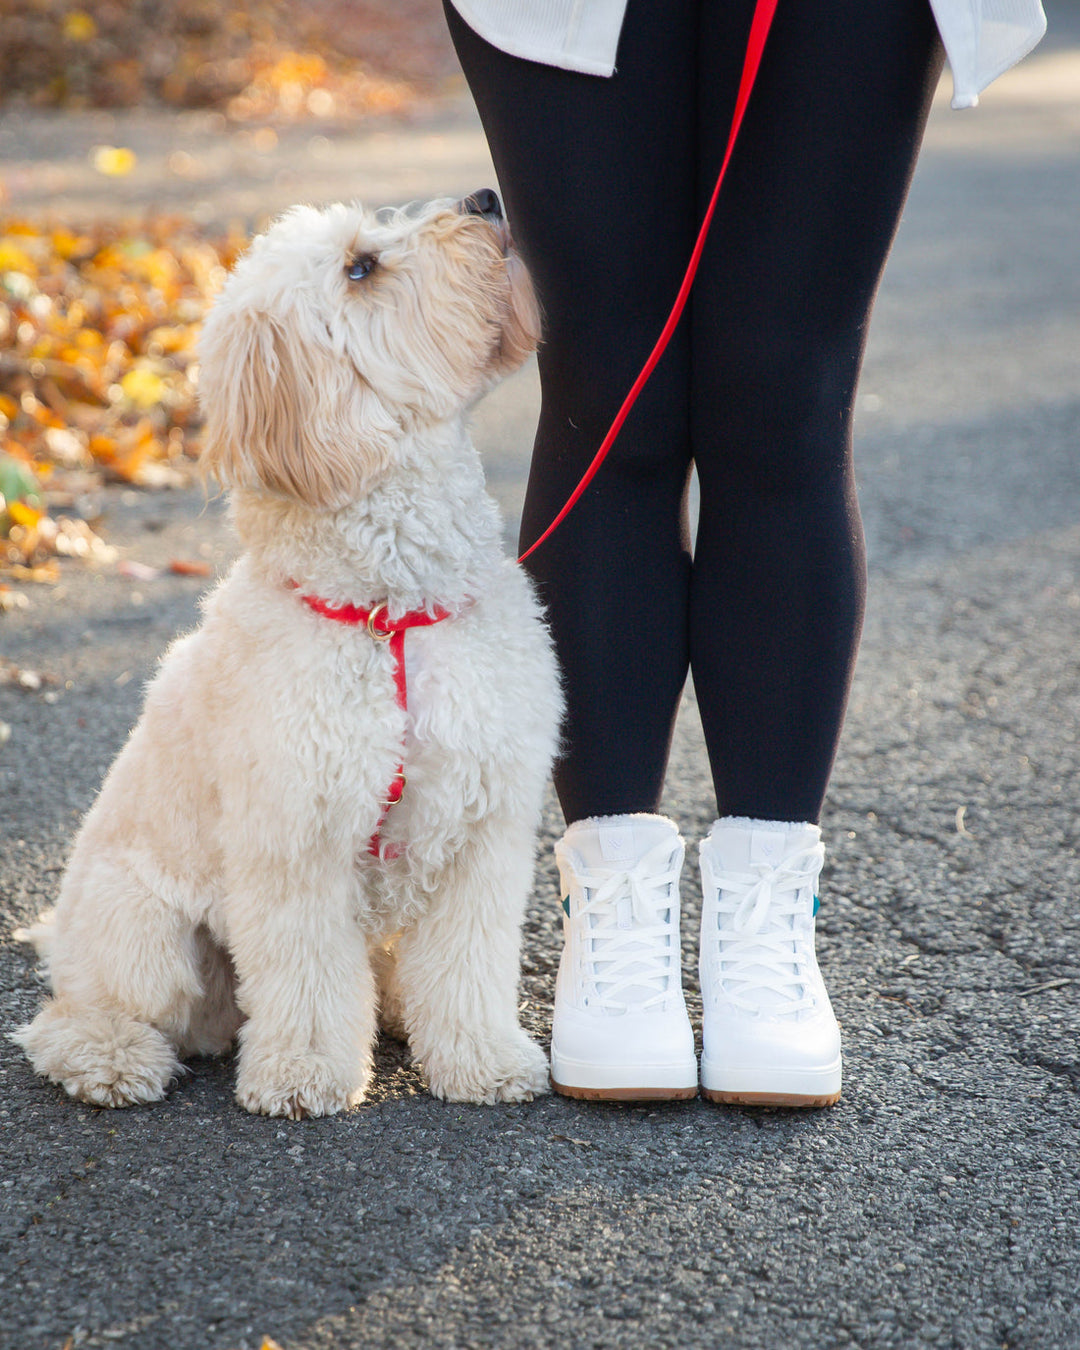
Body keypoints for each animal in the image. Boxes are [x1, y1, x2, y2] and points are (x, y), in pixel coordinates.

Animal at [12, 190, 561, 1117]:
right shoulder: (295, 839)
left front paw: (482, 1060)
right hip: (142, 931)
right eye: (360, 268)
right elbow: (307, 980)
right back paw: (111, 1057)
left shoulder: (483, 830)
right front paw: (305, 1074)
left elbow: (467, 965)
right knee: (73, 1017)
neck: (389, 612)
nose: (485, 199)